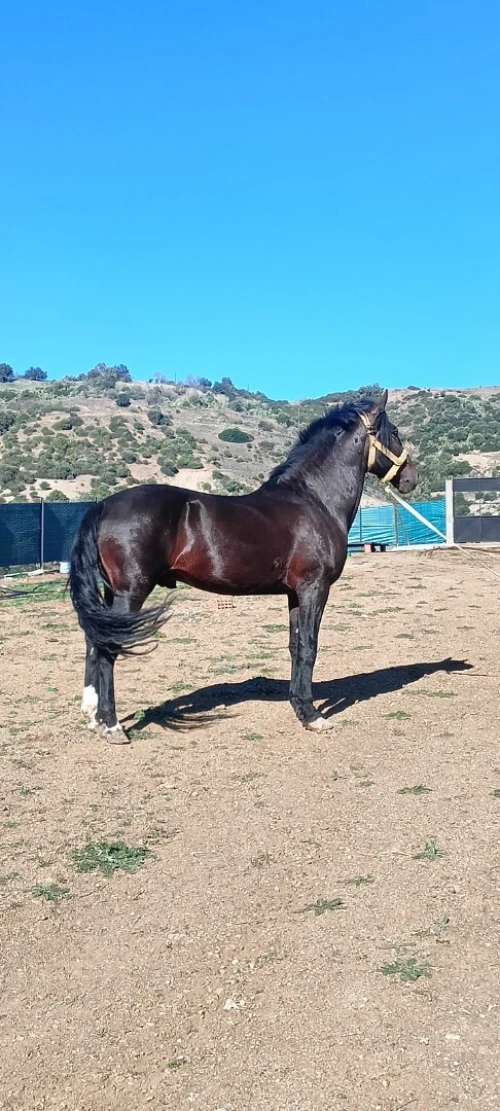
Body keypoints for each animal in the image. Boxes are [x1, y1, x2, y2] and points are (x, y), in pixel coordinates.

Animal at [69, 389, 418, 743]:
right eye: (395, 432)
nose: (411, 478)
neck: (314, 500)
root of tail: (102, 505)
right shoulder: (314, 588)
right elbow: (309, 646)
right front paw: (312, 715)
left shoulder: (294, 593)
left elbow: (295, 646)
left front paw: (299, 705)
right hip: (131, 592)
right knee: (108, 647)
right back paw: (113, 726)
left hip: (112, 594)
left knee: (94, 641)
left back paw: (94, 717)